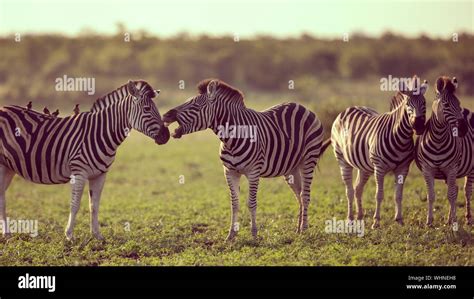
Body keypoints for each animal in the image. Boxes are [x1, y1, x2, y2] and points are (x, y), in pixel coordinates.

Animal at [0, 80, 169, 241]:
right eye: (146, 109)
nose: (166, 136)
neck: (100, 133)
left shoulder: (100, 175)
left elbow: (94, 205)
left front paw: (97, 235)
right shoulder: (79, 172)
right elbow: (75, 204)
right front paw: (69, 235)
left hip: (8, 167)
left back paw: (6, 234)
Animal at [163, 79, 330, 241]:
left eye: (195, 106)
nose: (165, 115)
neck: (231, 139)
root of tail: (302, 107)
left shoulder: (253, 172)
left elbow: (251, 203)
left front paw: (254, 234)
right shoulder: (229, 172)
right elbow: (234, 204)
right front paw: (231, 235)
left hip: (308, 159)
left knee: (305, 196)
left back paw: (304, 229)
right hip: (291, 168)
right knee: (299, 195)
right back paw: (298, 229)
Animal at [330, 76, 430, 229]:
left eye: (424, 103)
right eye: (408, 103)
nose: (418, 126)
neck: (399, 136)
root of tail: (349, 108)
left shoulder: (403, 168)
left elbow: (398, 195)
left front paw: (399, 220)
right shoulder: (380, 168)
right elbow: (379, 194)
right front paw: (376, 222)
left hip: (364, 166)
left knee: (358, 188)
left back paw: (359, 216)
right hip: (342, 159)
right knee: (349, 190)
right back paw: (350, 218)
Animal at [414, 77, 470, 227]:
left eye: (458, 103)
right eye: (446, 105)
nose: (464, 128)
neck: (438, 140)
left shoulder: (451, 169)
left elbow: (451, 195)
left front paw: (455, 222)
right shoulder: (427, 169)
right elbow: (431, 196)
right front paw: (429, 222)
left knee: (466, 191)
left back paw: (468, 218)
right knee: (456, 189)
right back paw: (449, 219)